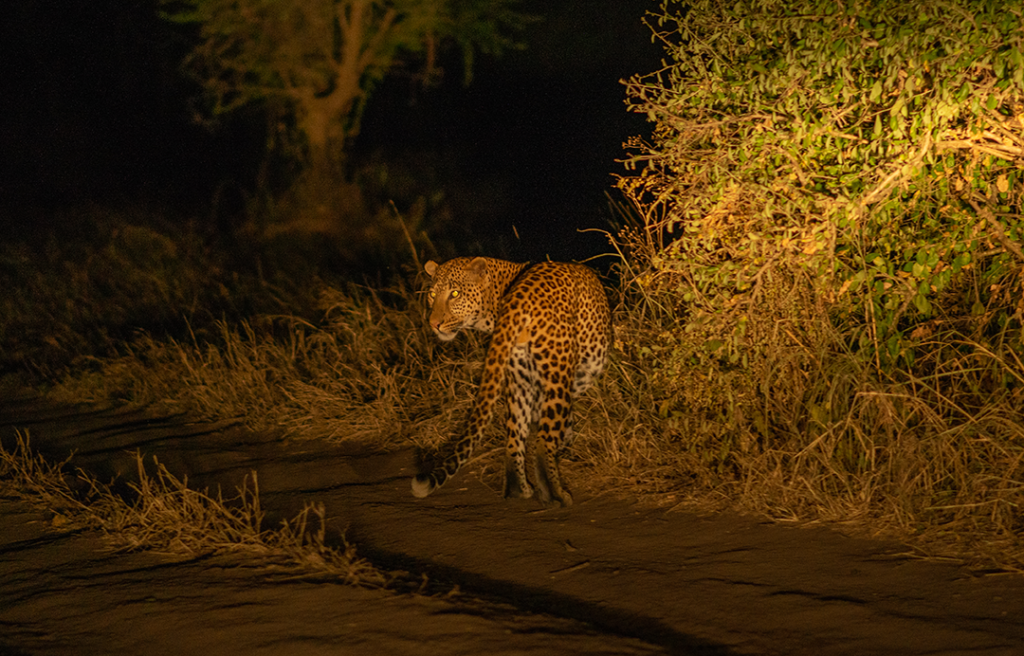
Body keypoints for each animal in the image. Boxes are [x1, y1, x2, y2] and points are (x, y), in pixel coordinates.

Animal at [411, 255, 610, 507]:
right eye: (433, 294)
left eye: (454, 293)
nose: (433, 323)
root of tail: (519, 294)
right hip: (555, 374)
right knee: (543, 443)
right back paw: (557, 495)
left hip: (519, 382)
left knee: (514, 438)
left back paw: (519, 490)